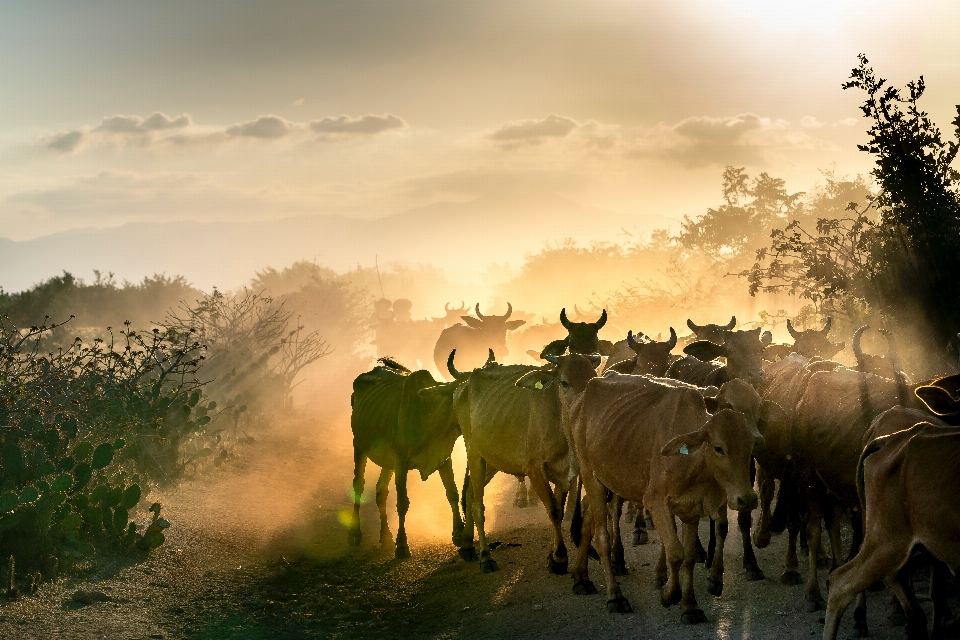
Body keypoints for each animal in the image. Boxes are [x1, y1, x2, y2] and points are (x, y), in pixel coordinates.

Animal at [348, 358, 464, 556]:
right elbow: (402, 503)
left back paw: (386, 538)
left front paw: (458, 533)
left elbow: (452, 493)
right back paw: (355, 534)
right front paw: (402, 545)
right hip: (359, 445)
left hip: (387, 460)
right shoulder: (401, 462)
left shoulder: (443, 458)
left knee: (381, 491)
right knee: (359, 485)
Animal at [446, 350, 596, 576]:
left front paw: (552, 557)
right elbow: (553, 511)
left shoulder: (563, 474)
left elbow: (559, 511)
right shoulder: (534, 470)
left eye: (592, 378)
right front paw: (560, 558)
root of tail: (464, 384)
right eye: (564, 382)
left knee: (470, 493)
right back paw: (485, 556)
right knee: (477, 504)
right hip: (474, 452)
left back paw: (467, 546)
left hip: (492, 459)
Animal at [532, 368, 756, 624]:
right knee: (602, 537)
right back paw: (615, 596)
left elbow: (689, 558)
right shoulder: (656, 502)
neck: (692, 460)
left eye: (750, 446)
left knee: (588, 522)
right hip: (589, 474)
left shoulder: (691, 508)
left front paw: (690, 606)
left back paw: (582, 578)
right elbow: (676, 553)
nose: (748, 499)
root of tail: (579, 399)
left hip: (607, 481)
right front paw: (669, 594)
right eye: (719, 448)